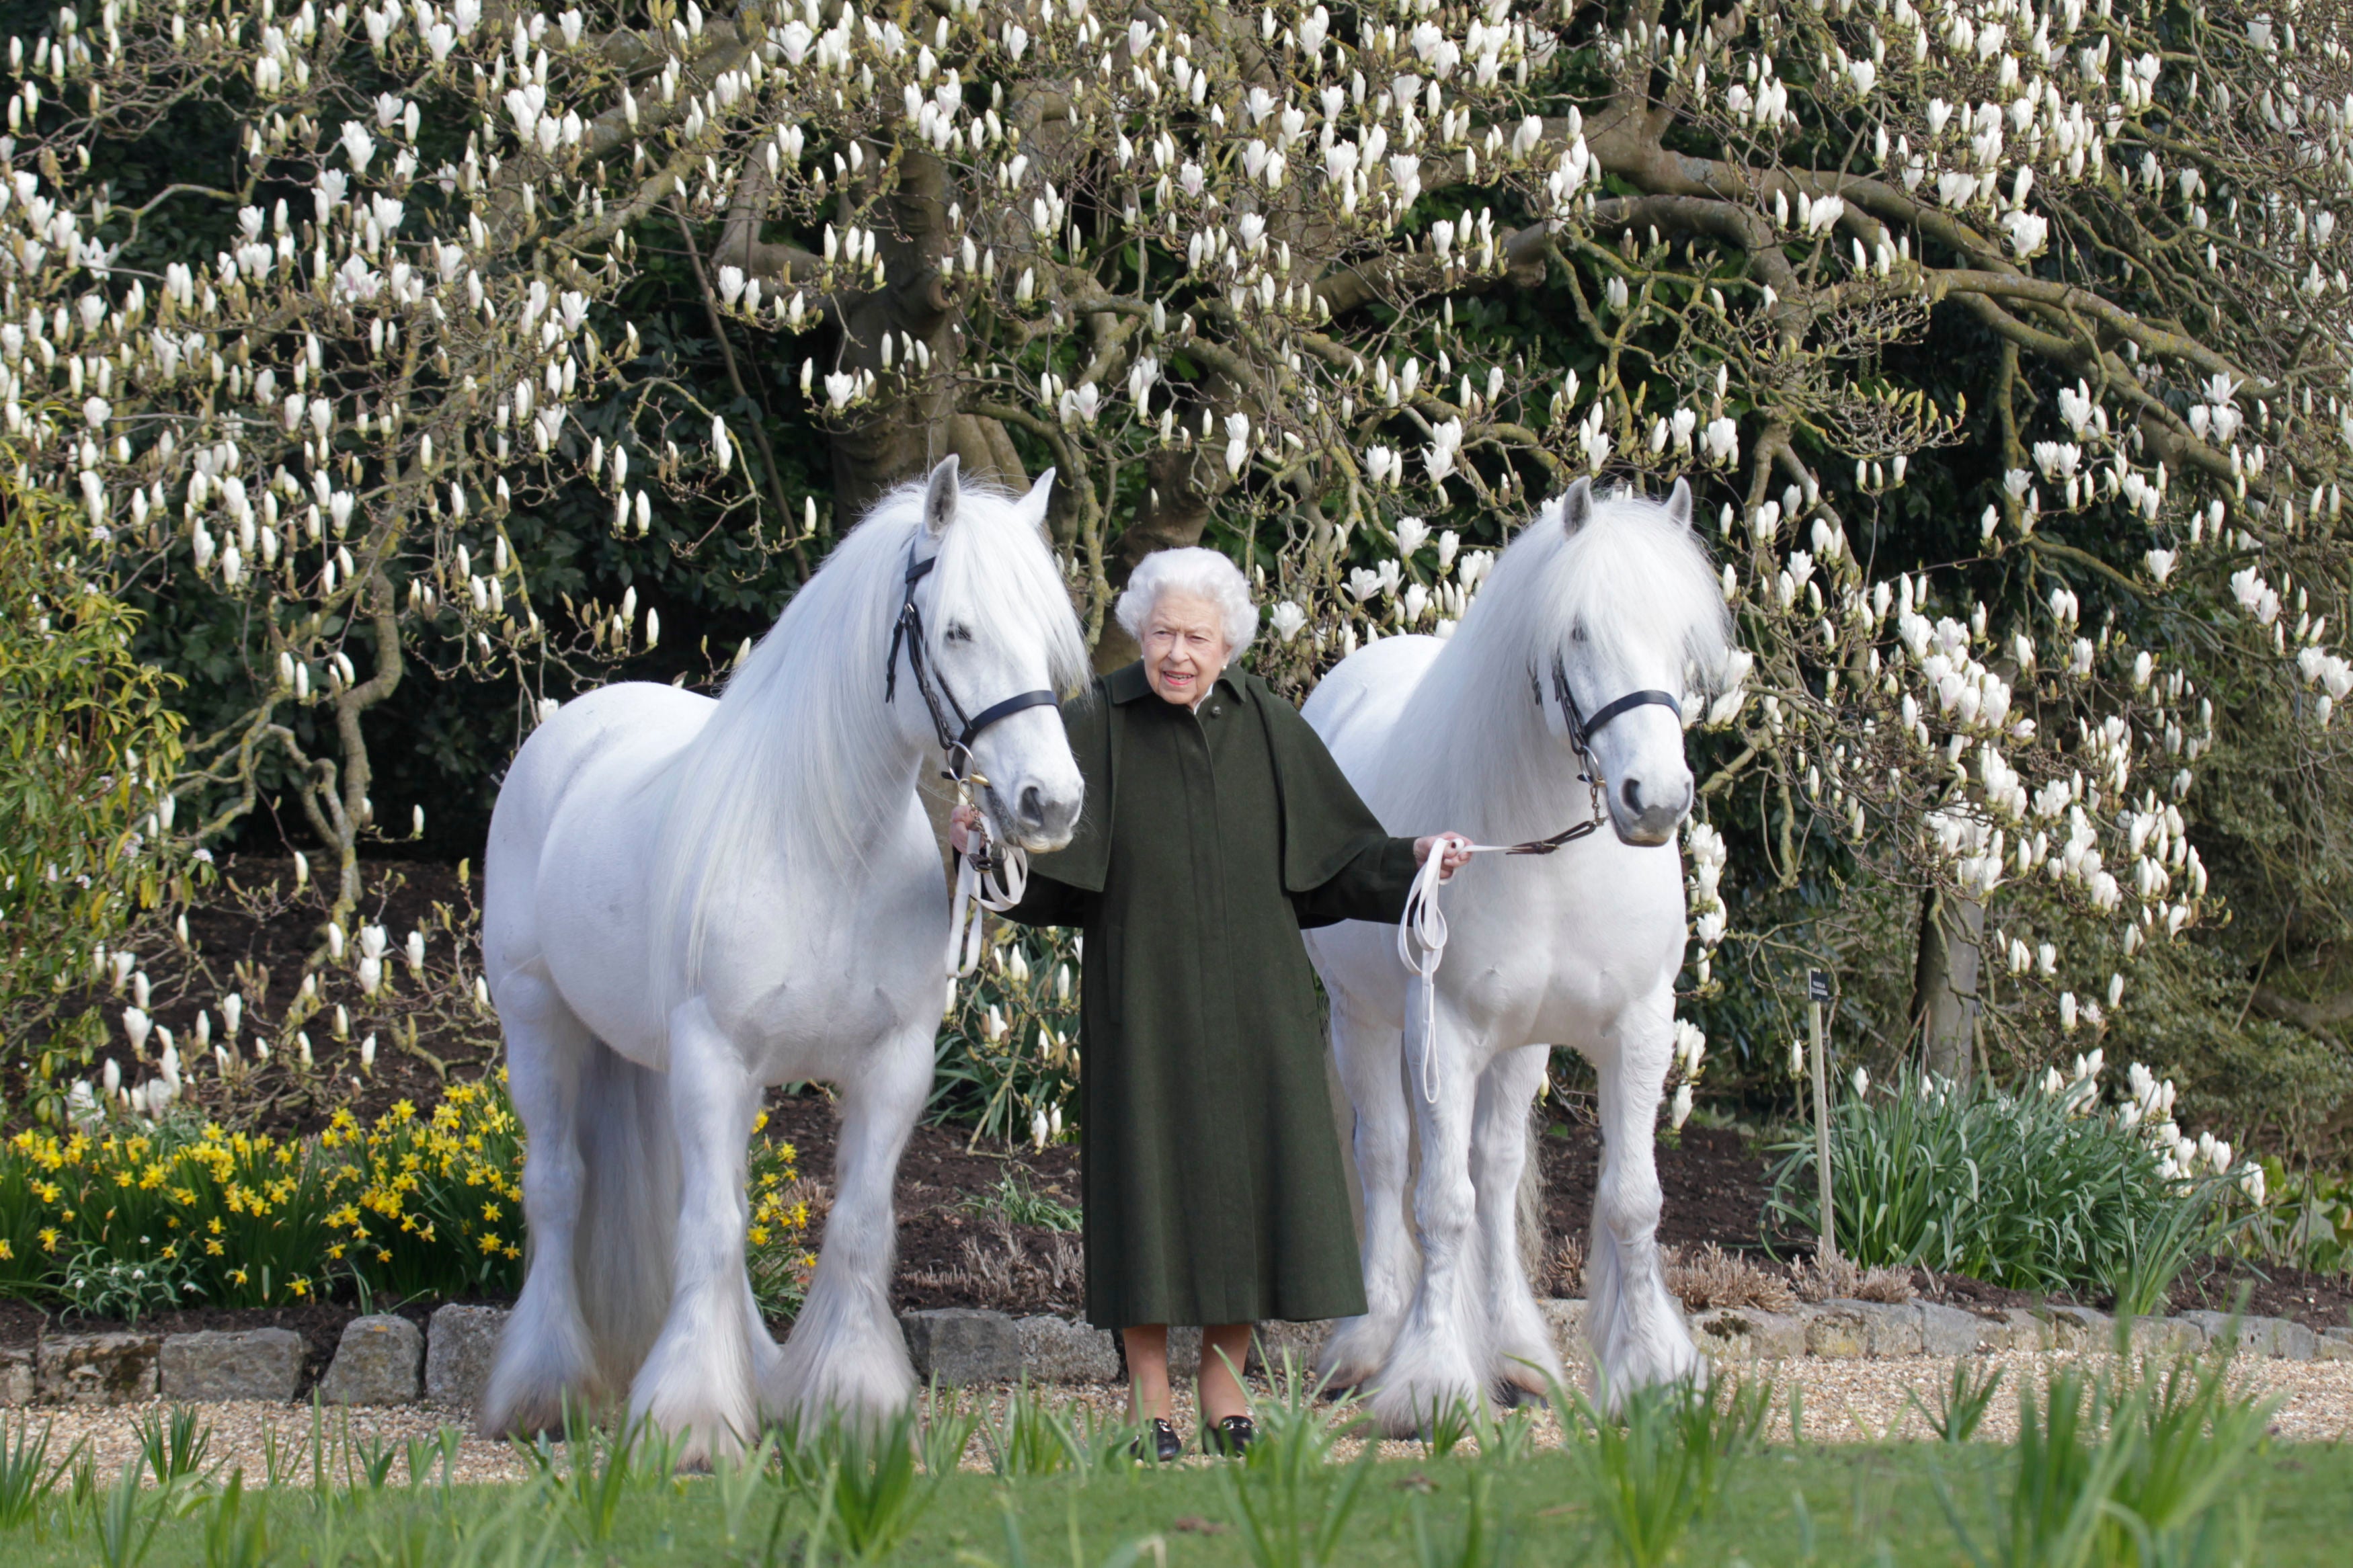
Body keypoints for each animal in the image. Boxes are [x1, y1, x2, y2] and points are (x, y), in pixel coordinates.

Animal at [491, 460, 1096, 1467]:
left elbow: (851, 1224)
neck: (824, 850)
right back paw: (544, 1389)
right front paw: (692, 1422)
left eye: (1047, 637)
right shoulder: (715, 1056)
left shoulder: (892, 1064)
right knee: (560, 1188)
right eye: (957, 628)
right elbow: (709, 1227)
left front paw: (849, 1406)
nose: (1049, 802)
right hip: (540, 1024)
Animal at [1299, 479, 1741, 1438]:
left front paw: (1652, 1372)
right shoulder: (1444, 1030)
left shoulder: (1636, 1028)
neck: (1552, 856)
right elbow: (1438, 1203)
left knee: (1495, 1171)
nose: (1655, 799)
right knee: (1386, 1156)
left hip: (1520, 1045)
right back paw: (1367, 1344)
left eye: (1682, 635)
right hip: (1365, 1019)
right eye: (1576, 631)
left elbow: (1627, 1199)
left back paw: (1515, 1353)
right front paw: (1428, 1382)